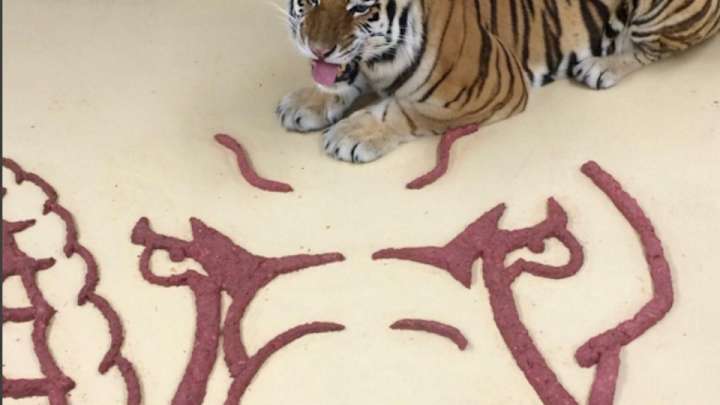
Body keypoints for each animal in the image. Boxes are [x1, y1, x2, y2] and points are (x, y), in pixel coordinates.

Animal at [276, 0, 720, 163]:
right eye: (310, 1)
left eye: (359, 7)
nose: (317, 48)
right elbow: (341, 81)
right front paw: (307, 100)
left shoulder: (489, 86)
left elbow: (402, 111)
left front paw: (354, 133)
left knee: (651, 50)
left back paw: (601, 66)